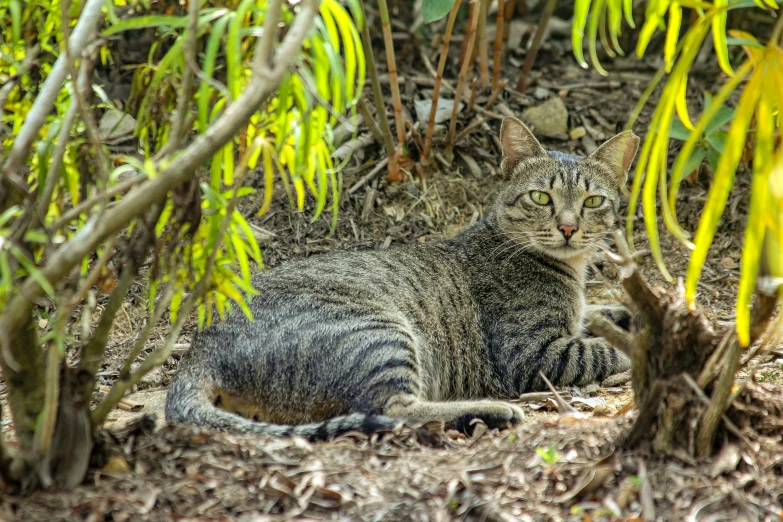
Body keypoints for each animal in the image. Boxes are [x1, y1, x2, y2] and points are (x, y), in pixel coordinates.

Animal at [165, 118, 636, 438]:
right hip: (380, 333)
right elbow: (601, 352)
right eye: (540, 197)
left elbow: (606, 314)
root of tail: (198, 351)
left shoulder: (578, 317)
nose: (569, 227)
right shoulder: (532, 353)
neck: (570, 271)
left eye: (593, 201)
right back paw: (491, 411)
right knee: (392, 410)